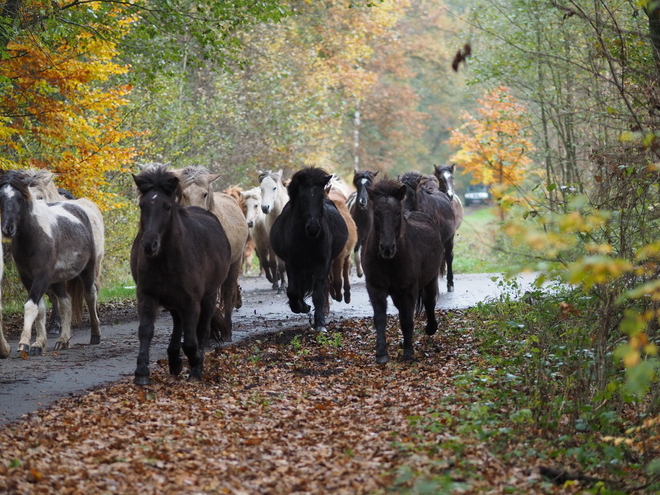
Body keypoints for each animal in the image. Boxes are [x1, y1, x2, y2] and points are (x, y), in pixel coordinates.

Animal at [0, 170, 104, 356]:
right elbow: (40, 308)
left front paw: (24, 343)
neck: (33, 236)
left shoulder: (42, 275)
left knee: (90, 295)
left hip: (88, 270)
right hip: (57, 279)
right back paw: (63, 340)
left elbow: (31, 306)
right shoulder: (27, 277)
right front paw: (38, 344)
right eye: (1, 197)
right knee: (66, 302)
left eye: (20, 198)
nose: (7, 229)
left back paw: (95, 335)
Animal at [130, 169, 231, 390]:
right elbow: (146, 331)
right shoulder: (147, 296)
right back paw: (174, 360)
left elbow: (192, 340)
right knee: (178, 322)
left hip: (208, 297)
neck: (166, 259)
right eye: (142, 205)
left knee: (201, 328)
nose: (149, 244)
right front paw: (141, 372)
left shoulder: (191, 301)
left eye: (167, 206)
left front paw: (196, 366)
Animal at [270, 167, 350, 334]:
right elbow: (293, 290)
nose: (313, 228)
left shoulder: (322, 263)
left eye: (320, 197)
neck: (306, 239)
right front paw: (301, 306)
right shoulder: (291, 263)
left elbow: (318, 293)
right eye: (302, 197)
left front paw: (320, 324)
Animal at [360, 178, 444, 364]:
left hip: (430, 279)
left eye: (397, 212)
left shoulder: (408, 290)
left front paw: (408, 352)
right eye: (376, 213)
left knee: (429, 301)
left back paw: (430, 328)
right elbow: (380, 318)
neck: (389, 262)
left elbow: (407, 320)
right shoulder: (375, 288)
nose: (387, 248)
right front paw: (381, 354)